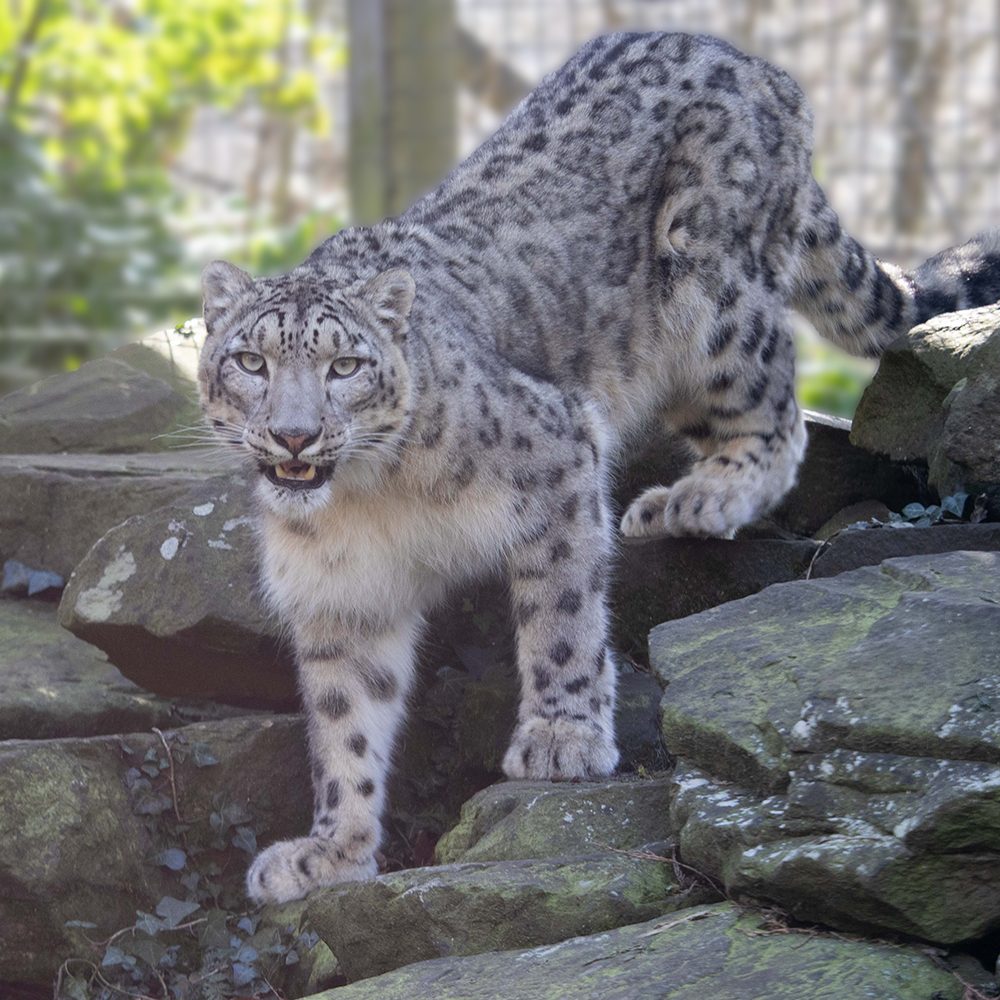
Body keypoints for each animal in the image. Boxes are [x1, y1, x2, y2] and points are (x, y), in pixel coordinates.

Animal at [197, 33, 1000, 908]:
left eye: (344, 365)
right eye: (249, 361)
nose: (296, 435)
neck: (368, 502)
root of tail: (754, 62)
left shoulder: (555, 457)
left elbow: (561, 613)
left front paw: (561, 738)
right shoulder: (341, 593)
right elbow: (346, 723)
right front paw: (330, 851)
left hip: (710, 300)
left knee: (776, 408)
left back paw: (702, 497)